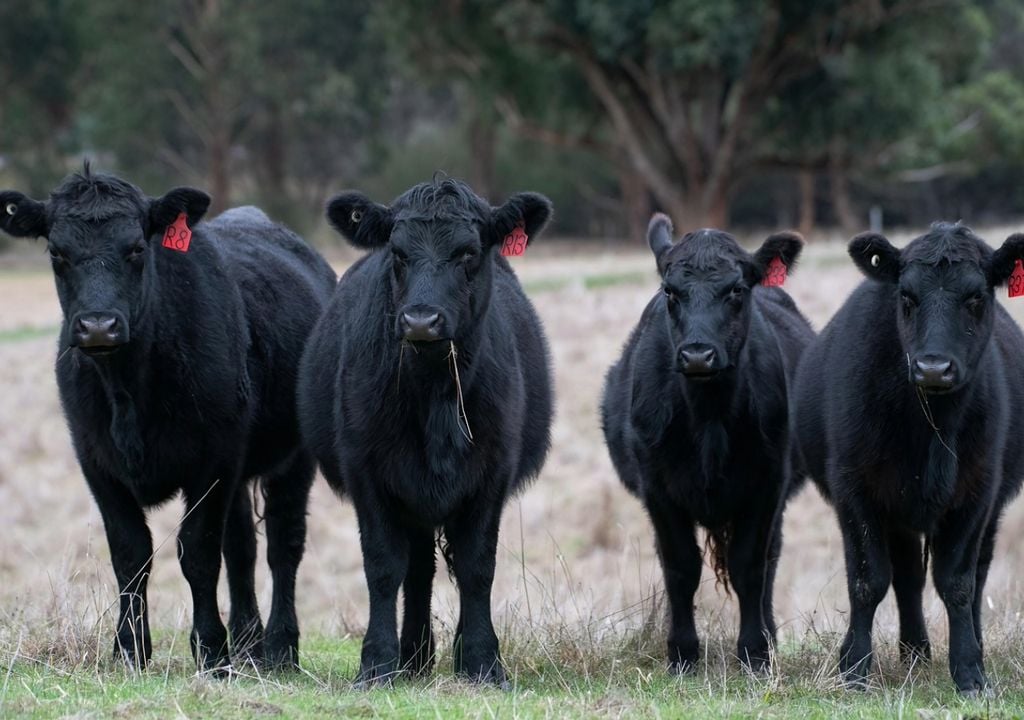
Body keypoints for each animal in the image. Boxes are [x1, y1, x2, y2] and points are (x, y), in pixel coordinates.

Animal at [0, 165, 337, 671]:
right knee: (242, 547)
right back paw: (249, 643)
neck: (128, 392)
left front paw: (211, 649)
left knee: (283, 544)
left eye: (137, 248)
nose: (98, 326)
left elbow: (197, 550)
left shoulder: (213, 461)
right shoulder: (96, 460)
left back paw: (279, 648)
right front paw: (129, 649)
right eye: (57, 253)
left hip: (293, 458)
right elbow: (130, 552)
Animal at [296, 177, 552, 684]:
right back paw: (413, 657)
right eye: (397, 253)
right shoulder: (367, 471)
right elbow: (382, 566)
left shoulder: (493, 474)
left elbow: (477, 566)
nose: (420, 320)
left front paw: (483, 661)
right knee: (417, 570)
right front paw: (377, 663)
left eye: (468, 252)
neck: (435, 393)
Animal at [598, 214, 815, 671]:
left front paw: (755, 653)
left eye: (736, 289)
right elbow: (681, 567)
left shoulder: (767, 485)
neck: (709, 416)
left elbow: (750, 566)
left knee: (770, 559)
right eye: (670, 291)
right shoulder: (658, 489)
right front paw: (681, 652)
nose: (697, 355)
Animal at [794, 222, 1024, 696]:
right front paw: (854, 670)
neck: (931, 426)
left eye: (976, 297)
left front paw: (970, 672)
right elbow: (868, 581)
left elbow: (958, 583)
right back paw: (914, 652)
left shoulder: (977, 493)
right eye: (906, 297)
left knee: (975, 576)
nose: (933, 367)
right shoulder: (856, 491)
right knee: (906, 578)